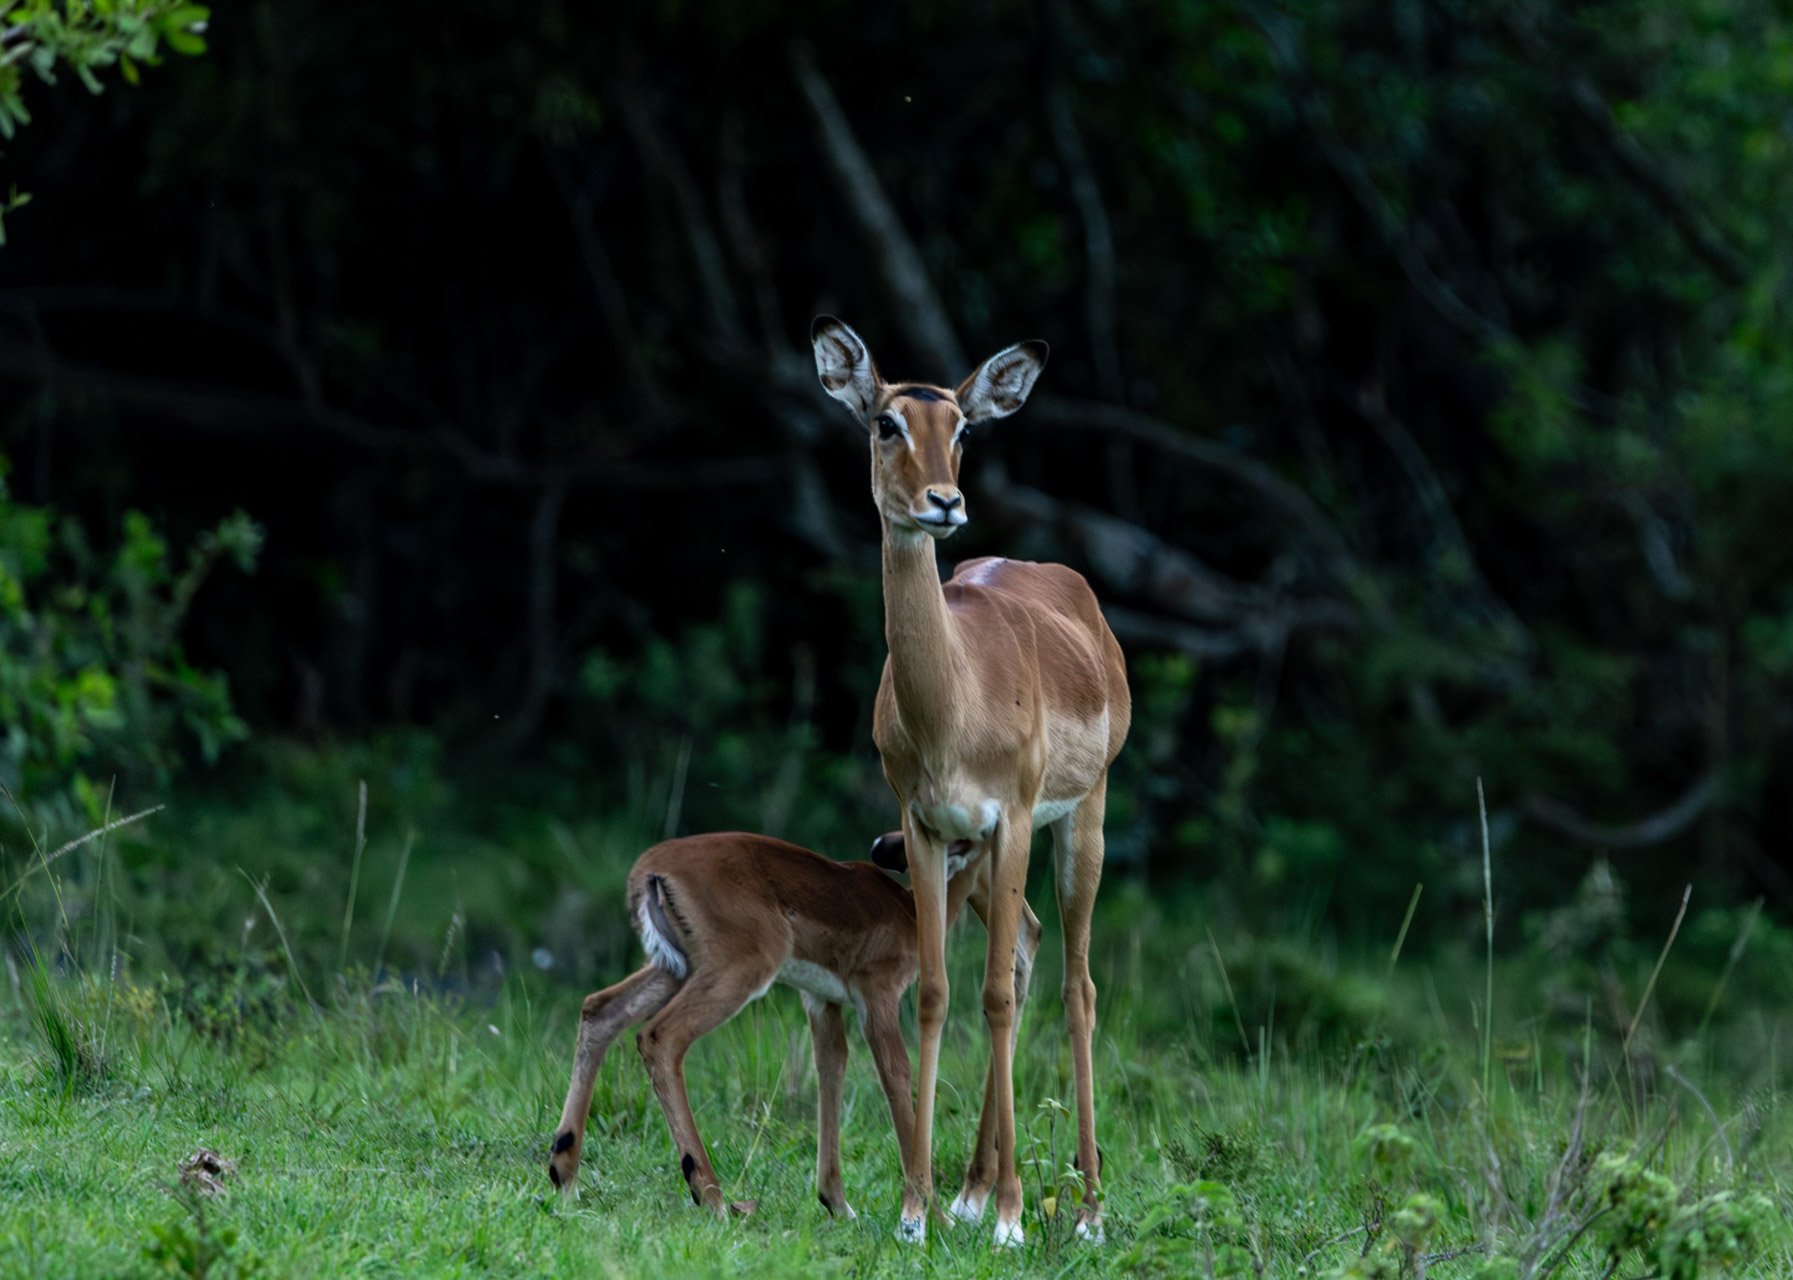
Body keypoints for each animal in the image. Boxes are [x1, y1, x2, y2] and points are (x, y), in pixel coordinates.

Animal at [545, 828, 1039, 1219]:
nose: (1027, 924)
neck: (909, 911)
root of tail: (651, 869)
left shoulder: (821, 1000)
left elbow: (831, 1072)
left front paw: (838, 1204)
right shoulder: (877, 997)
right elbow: (898, 1077)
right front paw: (934, 1217)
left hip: (673, 969)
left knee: (599, 1010)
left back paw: (564, 1176)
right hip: (737, 971)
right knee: (658, 1037)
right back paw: (713, 1198)